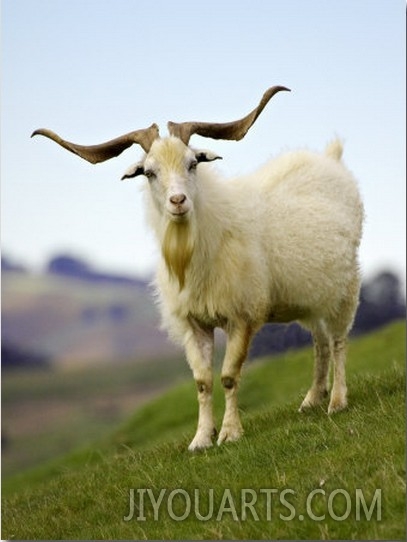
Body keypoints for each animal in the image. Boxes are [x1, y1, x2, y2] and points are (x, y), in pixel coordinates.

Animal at [31, 87, 364, 452]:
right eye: (149, 172)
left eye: (192, 163)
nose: (178, 201)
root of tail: (330, 158)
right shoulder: (194, 324)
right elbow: (203, 382)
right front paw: (201, 439)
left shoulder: (241, 316)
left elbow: (229, 376)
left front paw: (230, 433)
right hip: (311, 298)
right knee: (320, 342)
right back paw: (312, 400)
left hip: (345, 288)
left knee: (338, 341)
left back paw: (337, 401)